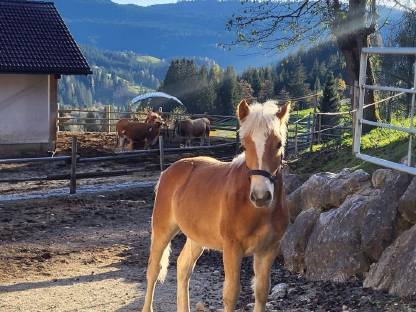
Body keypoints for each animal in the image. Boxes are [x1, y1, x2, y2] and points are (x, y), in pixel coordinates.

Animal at [142, 100, 290, 312]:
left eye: (278, 144)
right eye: (244, 145)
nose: (261, 196)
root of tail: (168, 171)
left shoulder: (268, 249)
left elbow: (262, 291)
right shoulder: (232, 248)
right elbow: (231, 293)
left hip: (196, 237)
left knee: (183, 267)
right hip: (163, 230)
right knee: (154, 269)